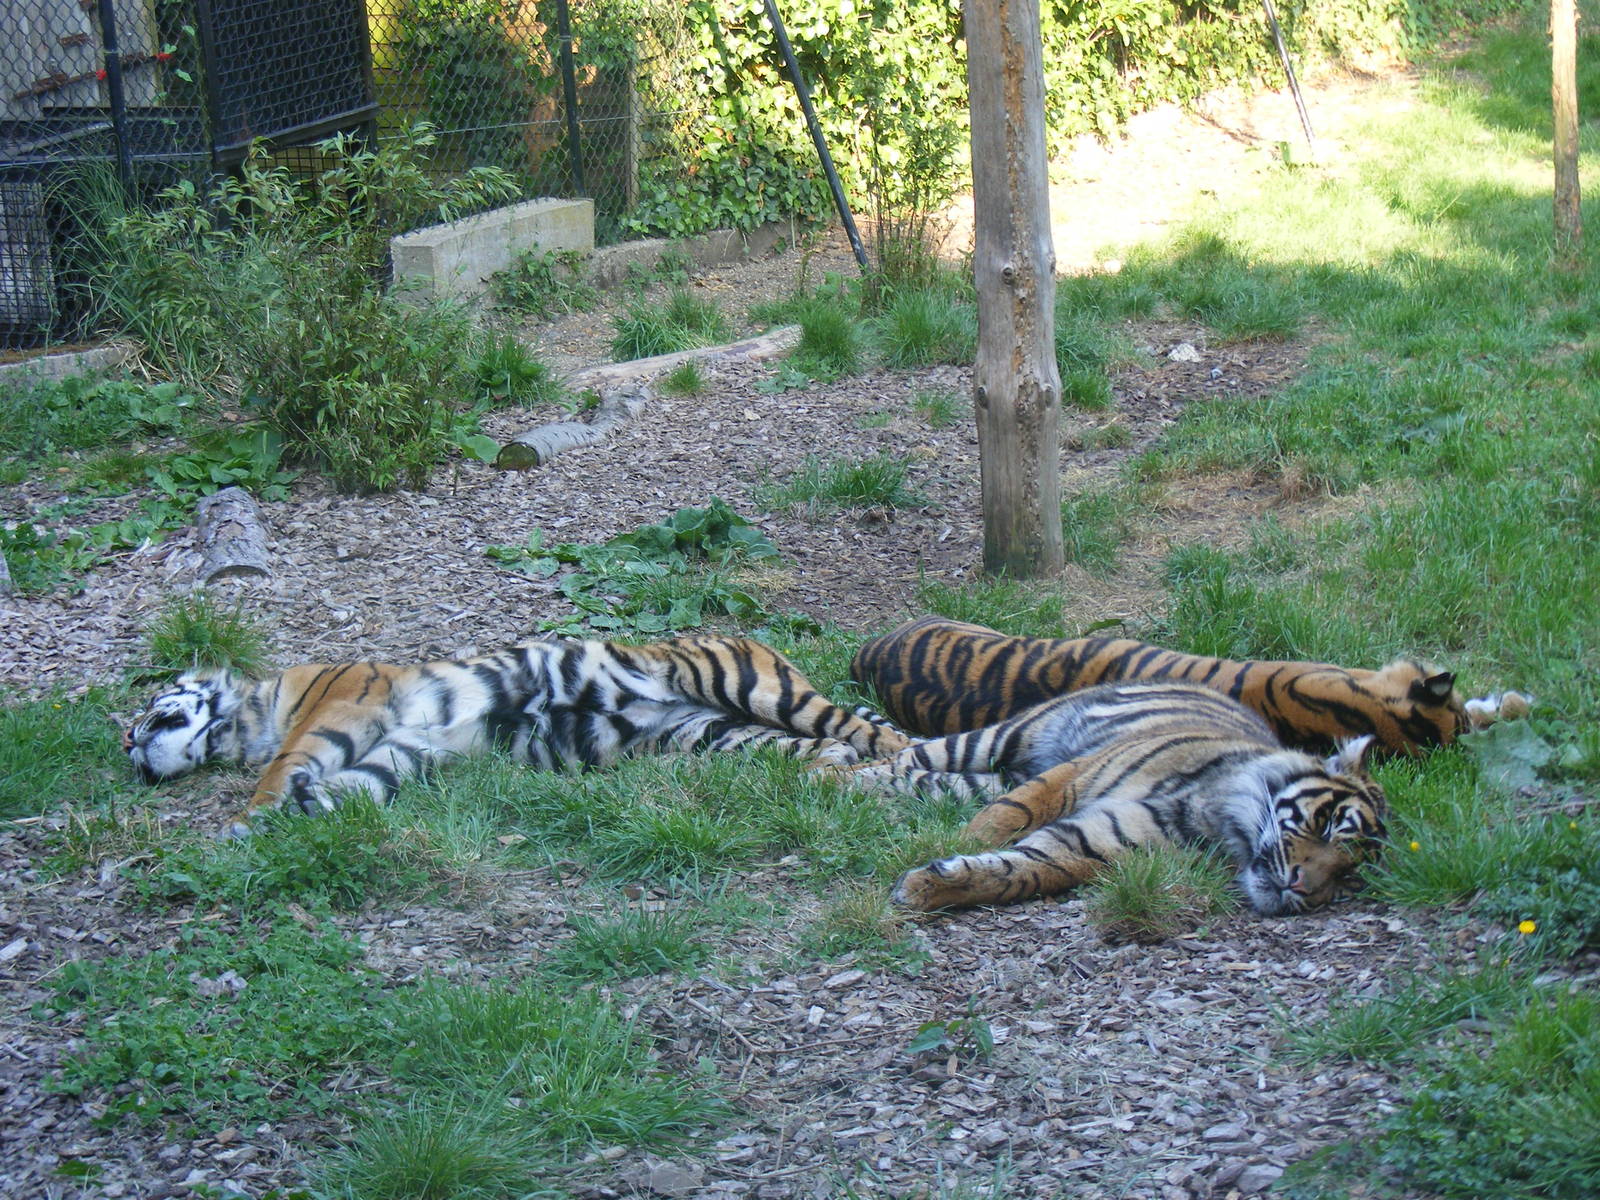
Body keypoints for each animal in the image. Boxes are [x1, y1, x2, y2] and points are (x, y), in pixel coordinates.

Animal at [125, 634, 911, 836]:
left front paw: (247, 820)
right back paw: (841, 779)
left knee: (874, 734)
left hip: (749, 684)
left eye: (150, 713)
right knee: (827, 750)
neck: (252, 715)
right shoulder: (402, 751)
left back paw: (905, 766)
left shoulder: (344, 705)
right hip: (718, 737)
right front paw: (304, 810)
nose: (130, 747)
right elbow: (351, 784)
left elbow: (286, 764)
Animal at [834, 680, 1387, 915]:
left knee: (912, 777)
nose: (1303, 889)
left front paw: (927, 887)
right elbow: (1014, 814)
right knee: (900, 758)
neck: (1217, 824)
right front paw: (959, 843)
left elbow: (1020, 871)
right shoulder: (1072, 775)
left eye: (1347, 875)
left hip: (983, 774)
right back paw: (822, 775)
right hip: (1004, 737)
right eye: (1326, 825)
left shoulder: (1088, 846)